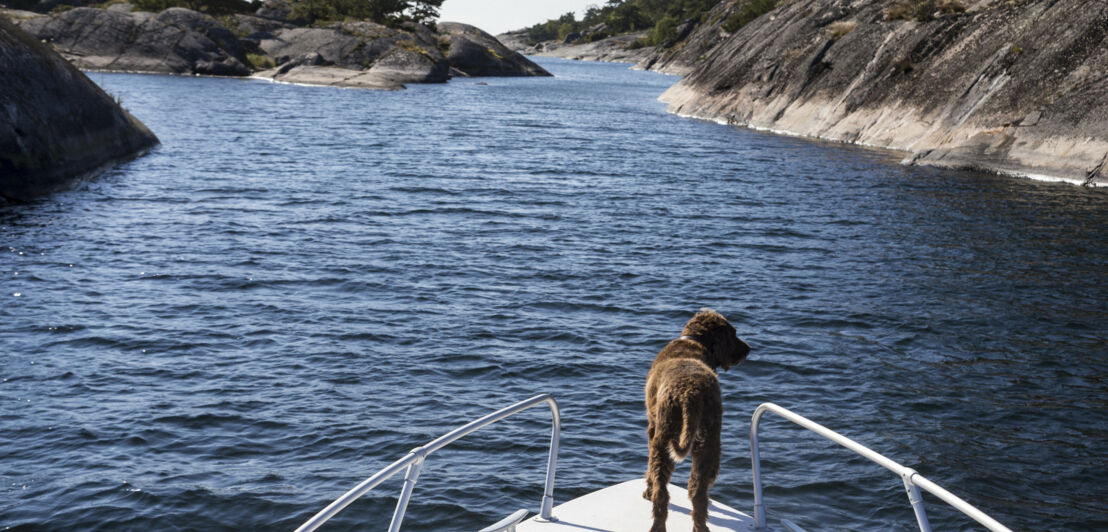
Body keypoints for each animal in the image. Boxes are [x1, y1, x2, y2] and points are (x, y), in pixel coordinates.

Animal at [647, 310, 749, 532]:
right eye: (734, 333)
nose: (748, 350)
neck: (694, 343)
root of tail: (689, 395)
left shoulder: (651, 427)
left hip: (666, 441)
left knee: (667, 491)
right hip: (705, 445)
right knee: (693, 492)